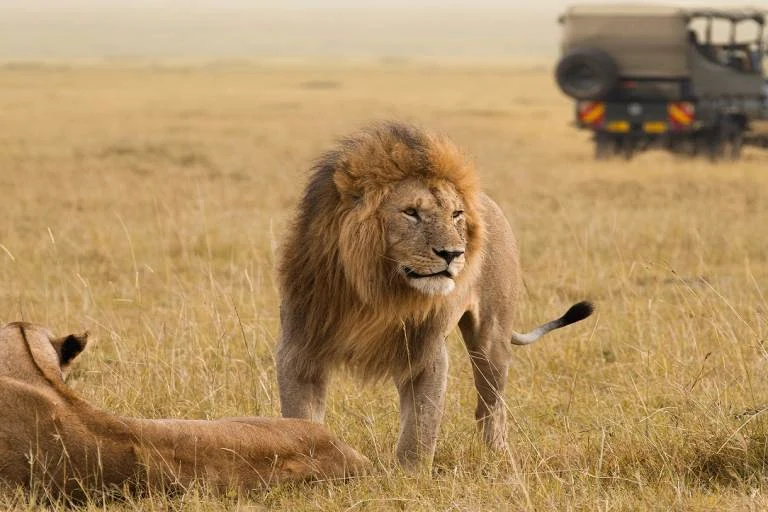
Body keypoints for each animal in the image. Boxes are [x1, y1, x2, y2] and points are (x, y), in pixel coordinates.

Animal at [276, 121, 594, 468]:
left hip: (491, 339)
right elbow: (301, 419)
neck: (376, 292)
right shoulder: (300, 348)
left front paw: (408, 477)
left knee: (490, 406)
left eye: (455, 214)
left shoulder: (426, 352)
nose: (453, 253)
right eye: (411, 212)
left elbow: (420, 427)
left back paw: (499, 458)